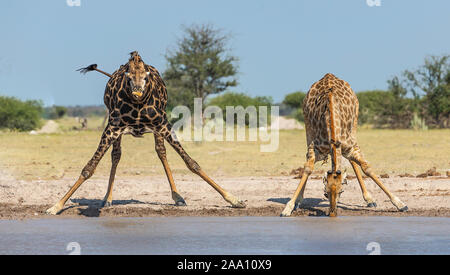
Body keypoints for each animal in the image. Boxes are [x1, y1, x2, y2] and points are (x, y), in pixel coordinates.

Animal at [44, 51, 246, 216]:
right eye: (128, 77)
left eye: (146, 77)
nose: (137, 92)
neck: (138, 106)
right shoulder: (112, 128)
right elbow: (88, 168)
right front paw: (56, 206)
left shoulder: (163, 124)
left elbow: (192, 163)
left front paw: (235, 199)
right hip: (116, 128)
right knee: (116, 155)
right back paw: (107, 198)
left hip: (157, 127)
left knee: (160, 151)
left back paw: (178, 197)